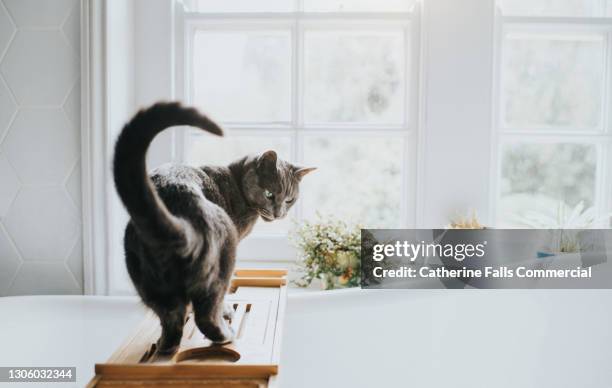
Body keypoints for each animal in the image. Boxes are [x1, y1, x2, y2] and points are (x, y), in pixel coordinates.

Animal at [112, 102, 316, 354]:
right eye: (270, 194)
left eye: (289, 200)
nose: (279, 213)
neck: (237, 181)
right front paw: (227, 310)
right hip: (224, 253)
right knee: (207, 311)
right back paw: (225, 335)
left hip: (145, 277)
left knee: (171, 318)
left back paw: (166, 345)